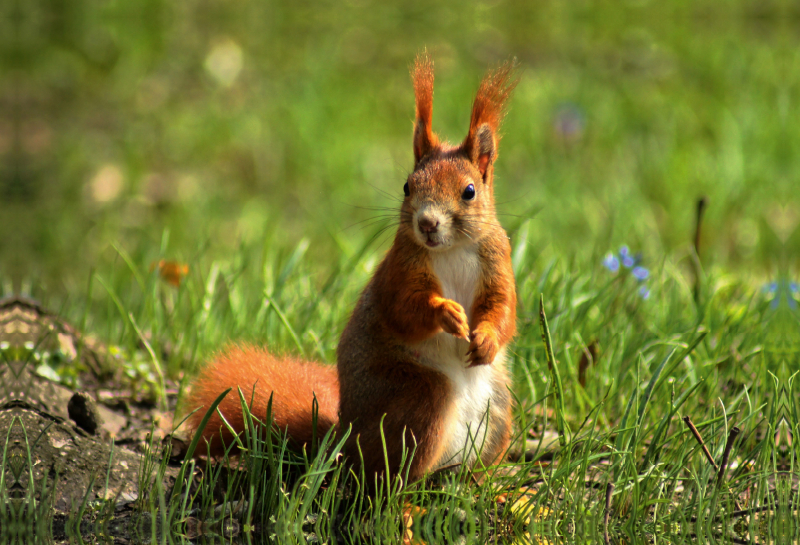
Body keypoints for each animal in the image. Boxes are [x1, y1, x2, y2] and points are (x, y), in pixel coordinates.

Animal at [191, 53, 520, 482]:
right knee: (391, 474)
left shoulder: (498, 263)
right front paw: (445, 312)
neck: (454, 249)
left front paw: (485, 339)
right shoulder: (400, 269)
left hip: (498, 409)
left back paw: (489, 484)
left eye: (469, 191)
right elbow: (403, 309)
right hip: (417, 397)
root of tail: (343, 441)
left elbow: (503, 311)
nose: (427, 223)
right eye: (407, 186)